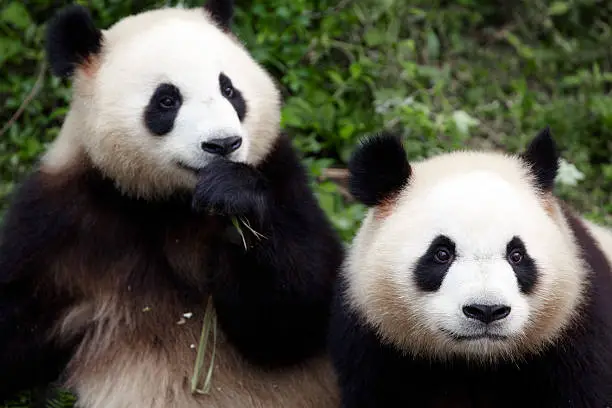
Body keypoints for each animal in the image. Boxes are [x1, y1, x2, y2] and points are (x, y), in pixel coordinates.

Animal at [0, 1, 344, 406]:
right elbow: (17, 319)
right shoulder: (58, 223)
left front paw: (233, 196)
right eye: (167, 100)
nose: (223, 144)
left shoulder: (280, 177)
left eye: (229, 89)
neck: (169, 204)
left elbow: (297, 317)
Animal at [328, 128, 612, 408]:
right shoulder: (377, 346)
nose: (487, 310)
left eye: (517, 255)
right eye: (441, 254)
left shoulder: (576, 331)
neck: (476, 362)